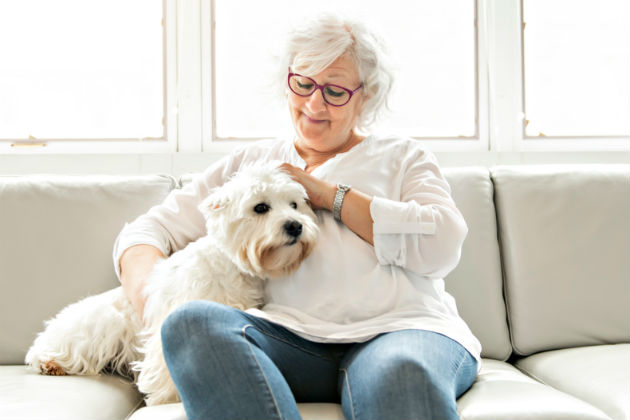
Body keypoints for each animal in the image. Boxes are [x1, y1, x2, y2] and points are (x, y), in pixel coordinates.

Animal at [24, 162, 320, 406]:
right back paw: (50, 362)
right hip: (99, 327)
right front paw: (167, 398)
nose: (295, 226)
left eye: (295, 205)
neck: (232, 265)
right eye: (260, 207)